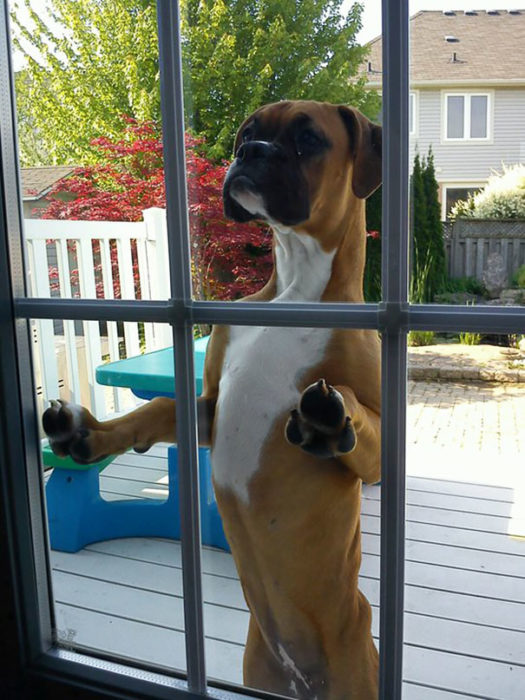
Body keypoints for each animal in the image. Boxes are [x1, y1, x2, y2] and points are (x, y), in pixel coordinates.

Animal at [43, 100, 380, 700]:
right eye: (249, 133)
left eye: (309, 140)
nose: (250, 153)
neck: (295, 290)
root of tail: (302, 675)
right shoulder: (210, 407)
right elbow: (157, 410)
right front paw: (91, 433)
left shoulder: (385, 449)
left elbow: (358, 418)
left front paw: (326, 420)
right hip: (259, 670)